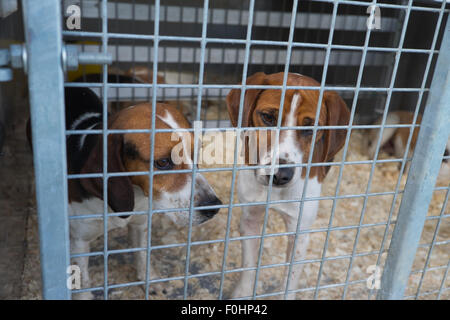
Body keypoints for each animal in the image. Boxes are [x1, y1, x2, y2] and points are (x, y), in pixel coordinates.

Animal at [62, 86, 221, 298]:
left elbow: (143, 255)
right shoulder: (80, 241)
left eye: (196, 154)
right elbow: (82, 279)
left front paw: (150, 281)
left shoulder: (140, 224)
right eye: (163, 162)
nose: (214, 206)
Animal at [227, 71, 350, 298]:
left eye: (311, 128)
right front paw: (244, 292)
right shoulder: (250, 219)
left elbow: (289, 280)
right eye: (268, 117)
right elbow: (248, 265)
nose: (280, 174)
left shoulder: (298, 233)